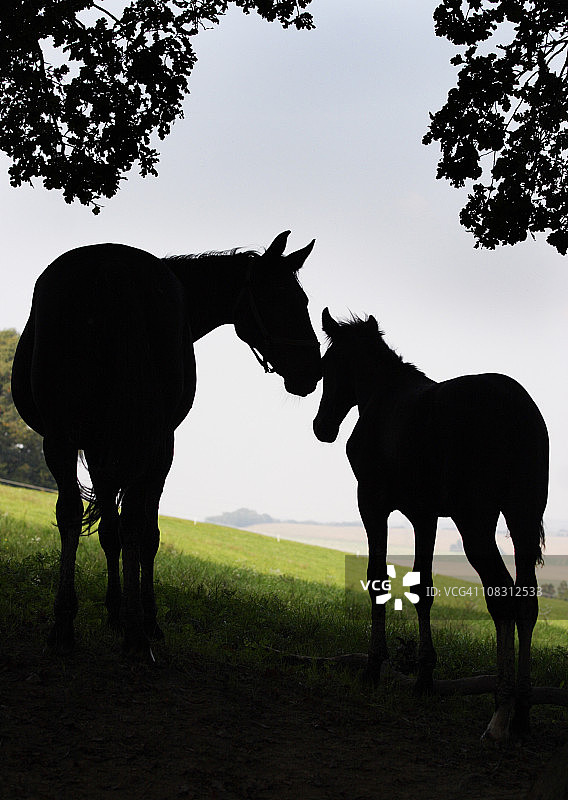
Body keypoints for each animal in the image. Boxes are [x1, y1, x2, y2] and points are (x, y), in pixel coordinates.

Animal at [11, 231, 321, 660]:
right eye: (283, 298)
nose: (313, 370)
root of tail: (111, 270)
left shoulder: (103, 449)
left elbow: (113, 530)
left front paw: (118, 612)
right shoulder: (156, 447)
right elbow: (140, 532)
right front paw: (142, 618)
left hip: (67, 439)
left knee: (76, 515)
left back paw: (67, 626)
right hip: (135, 446)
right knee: (123, 523)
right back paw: (131, 634)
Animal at [313, 308, 548, 742]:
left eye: (327, 366)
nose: (323, 427)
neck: (382, 399)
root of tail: (518, 412)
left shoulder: (372, 504)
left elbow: (378, 579)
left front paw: (373, 668)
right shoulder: (424, 516)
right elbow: (423, 588)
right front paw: (423, 679)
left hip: (476, 523)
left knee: (502, 597)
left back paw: (501, 713)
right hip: (522, 519)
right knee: (526, 601)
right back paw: (522, 714)